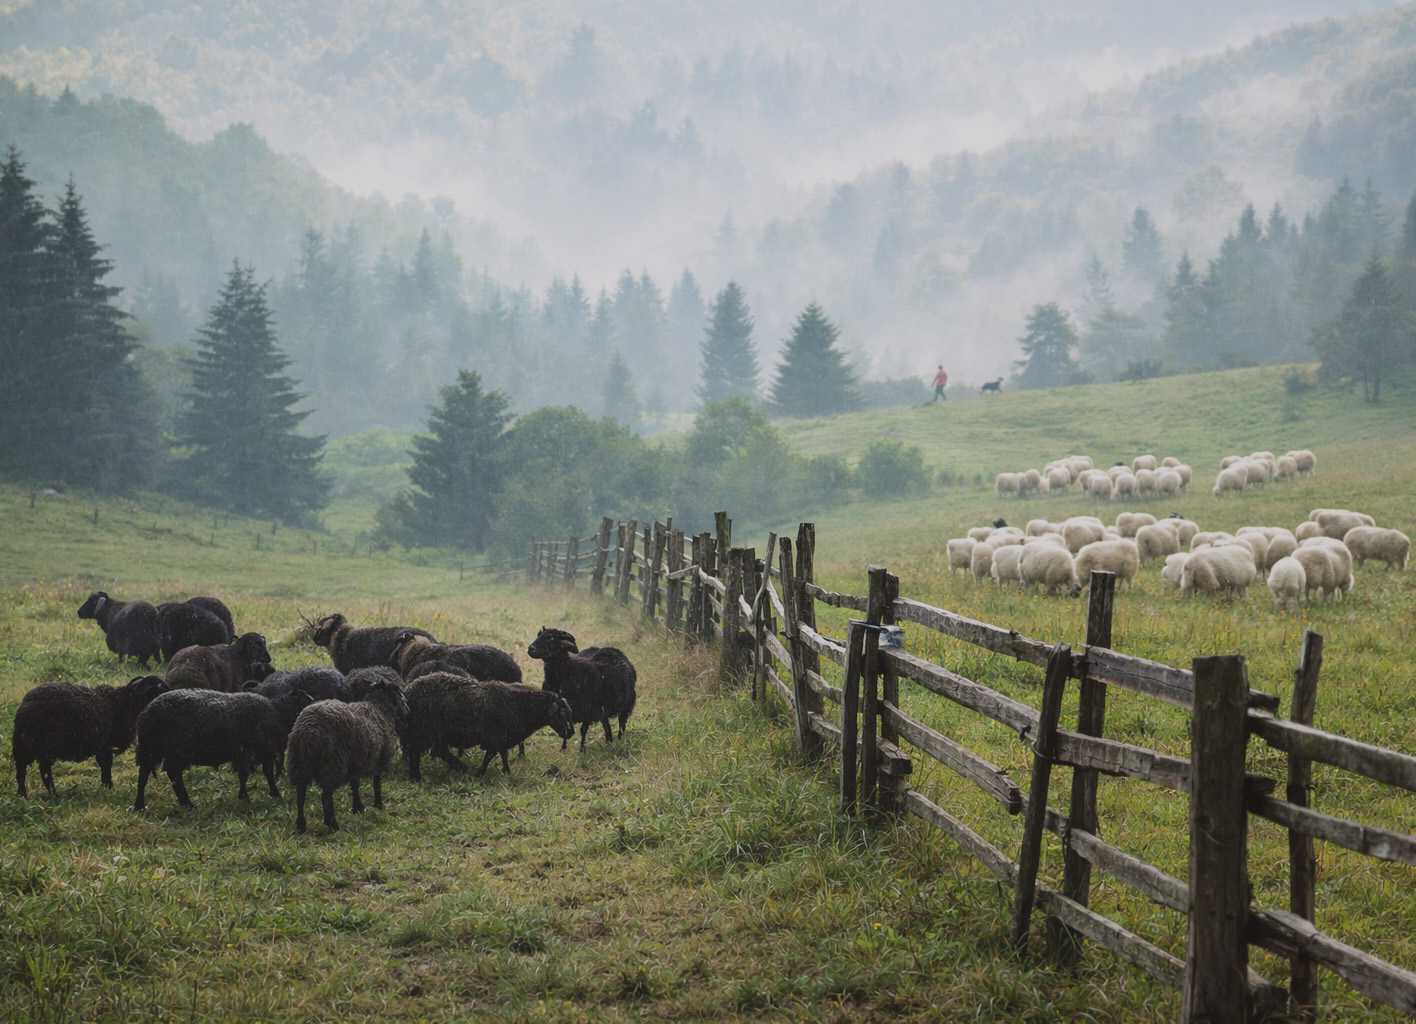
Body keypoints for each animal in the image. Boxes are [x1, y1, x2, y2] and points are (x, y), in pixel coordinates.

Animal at [12, 675, 167, 797]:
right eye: (160, 688)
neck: (125, 704)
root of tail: (26, 707)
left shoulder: (102, 747)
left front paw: (106, 787)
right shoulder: (105, 746)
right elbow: (107, 766)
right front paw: (109, 788)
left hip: (24, 745)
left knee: (21, 770)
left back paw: (22, 795)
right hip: (47, 745)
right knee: (44, 771)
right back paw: (54, 795)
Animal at [133, 688, 311, 810]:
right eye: (308, 700)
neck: (278, 712)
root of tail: (145, 715)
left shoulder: (244, 753)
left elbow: (244, 775)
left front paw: (243, 796)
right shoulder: (263, 750)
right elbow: (267, 774)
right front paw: (273, 794)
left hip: (153, 750)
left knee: (145, 776)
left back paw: (141, 805)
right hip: (173, 751)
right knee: (171, 775)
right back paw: (187, 804)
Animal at [285, 680, 409, 833]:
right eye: (401, 697)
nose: (409, 710)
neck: (380, 709)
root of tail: (309, 729)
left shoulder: (355, 762)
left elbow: (355, 785)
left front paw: (358, 807)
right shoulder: (380, 758)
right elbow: (377, 784)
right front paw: (378, 804)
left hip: (299, 762)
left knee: (300, 795)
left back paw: (301, 824)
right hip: (332, 763)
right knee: (325, 796)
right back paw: (333, 824)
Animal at [399, 672, 576, 779]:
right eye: (562, 712)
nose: (571, 732)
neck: (521, 704)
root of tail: (408, 691)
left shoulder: (503, 737)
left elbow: (502, 754)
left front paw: (506, 771)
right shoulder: (495, 736)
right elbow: (491, 755)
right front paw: (480, 773)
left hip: (436, 734)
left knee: (438, 751)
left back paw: (459, 767)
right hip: (423, 733)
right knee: (416, 753)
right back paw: (417, 776)